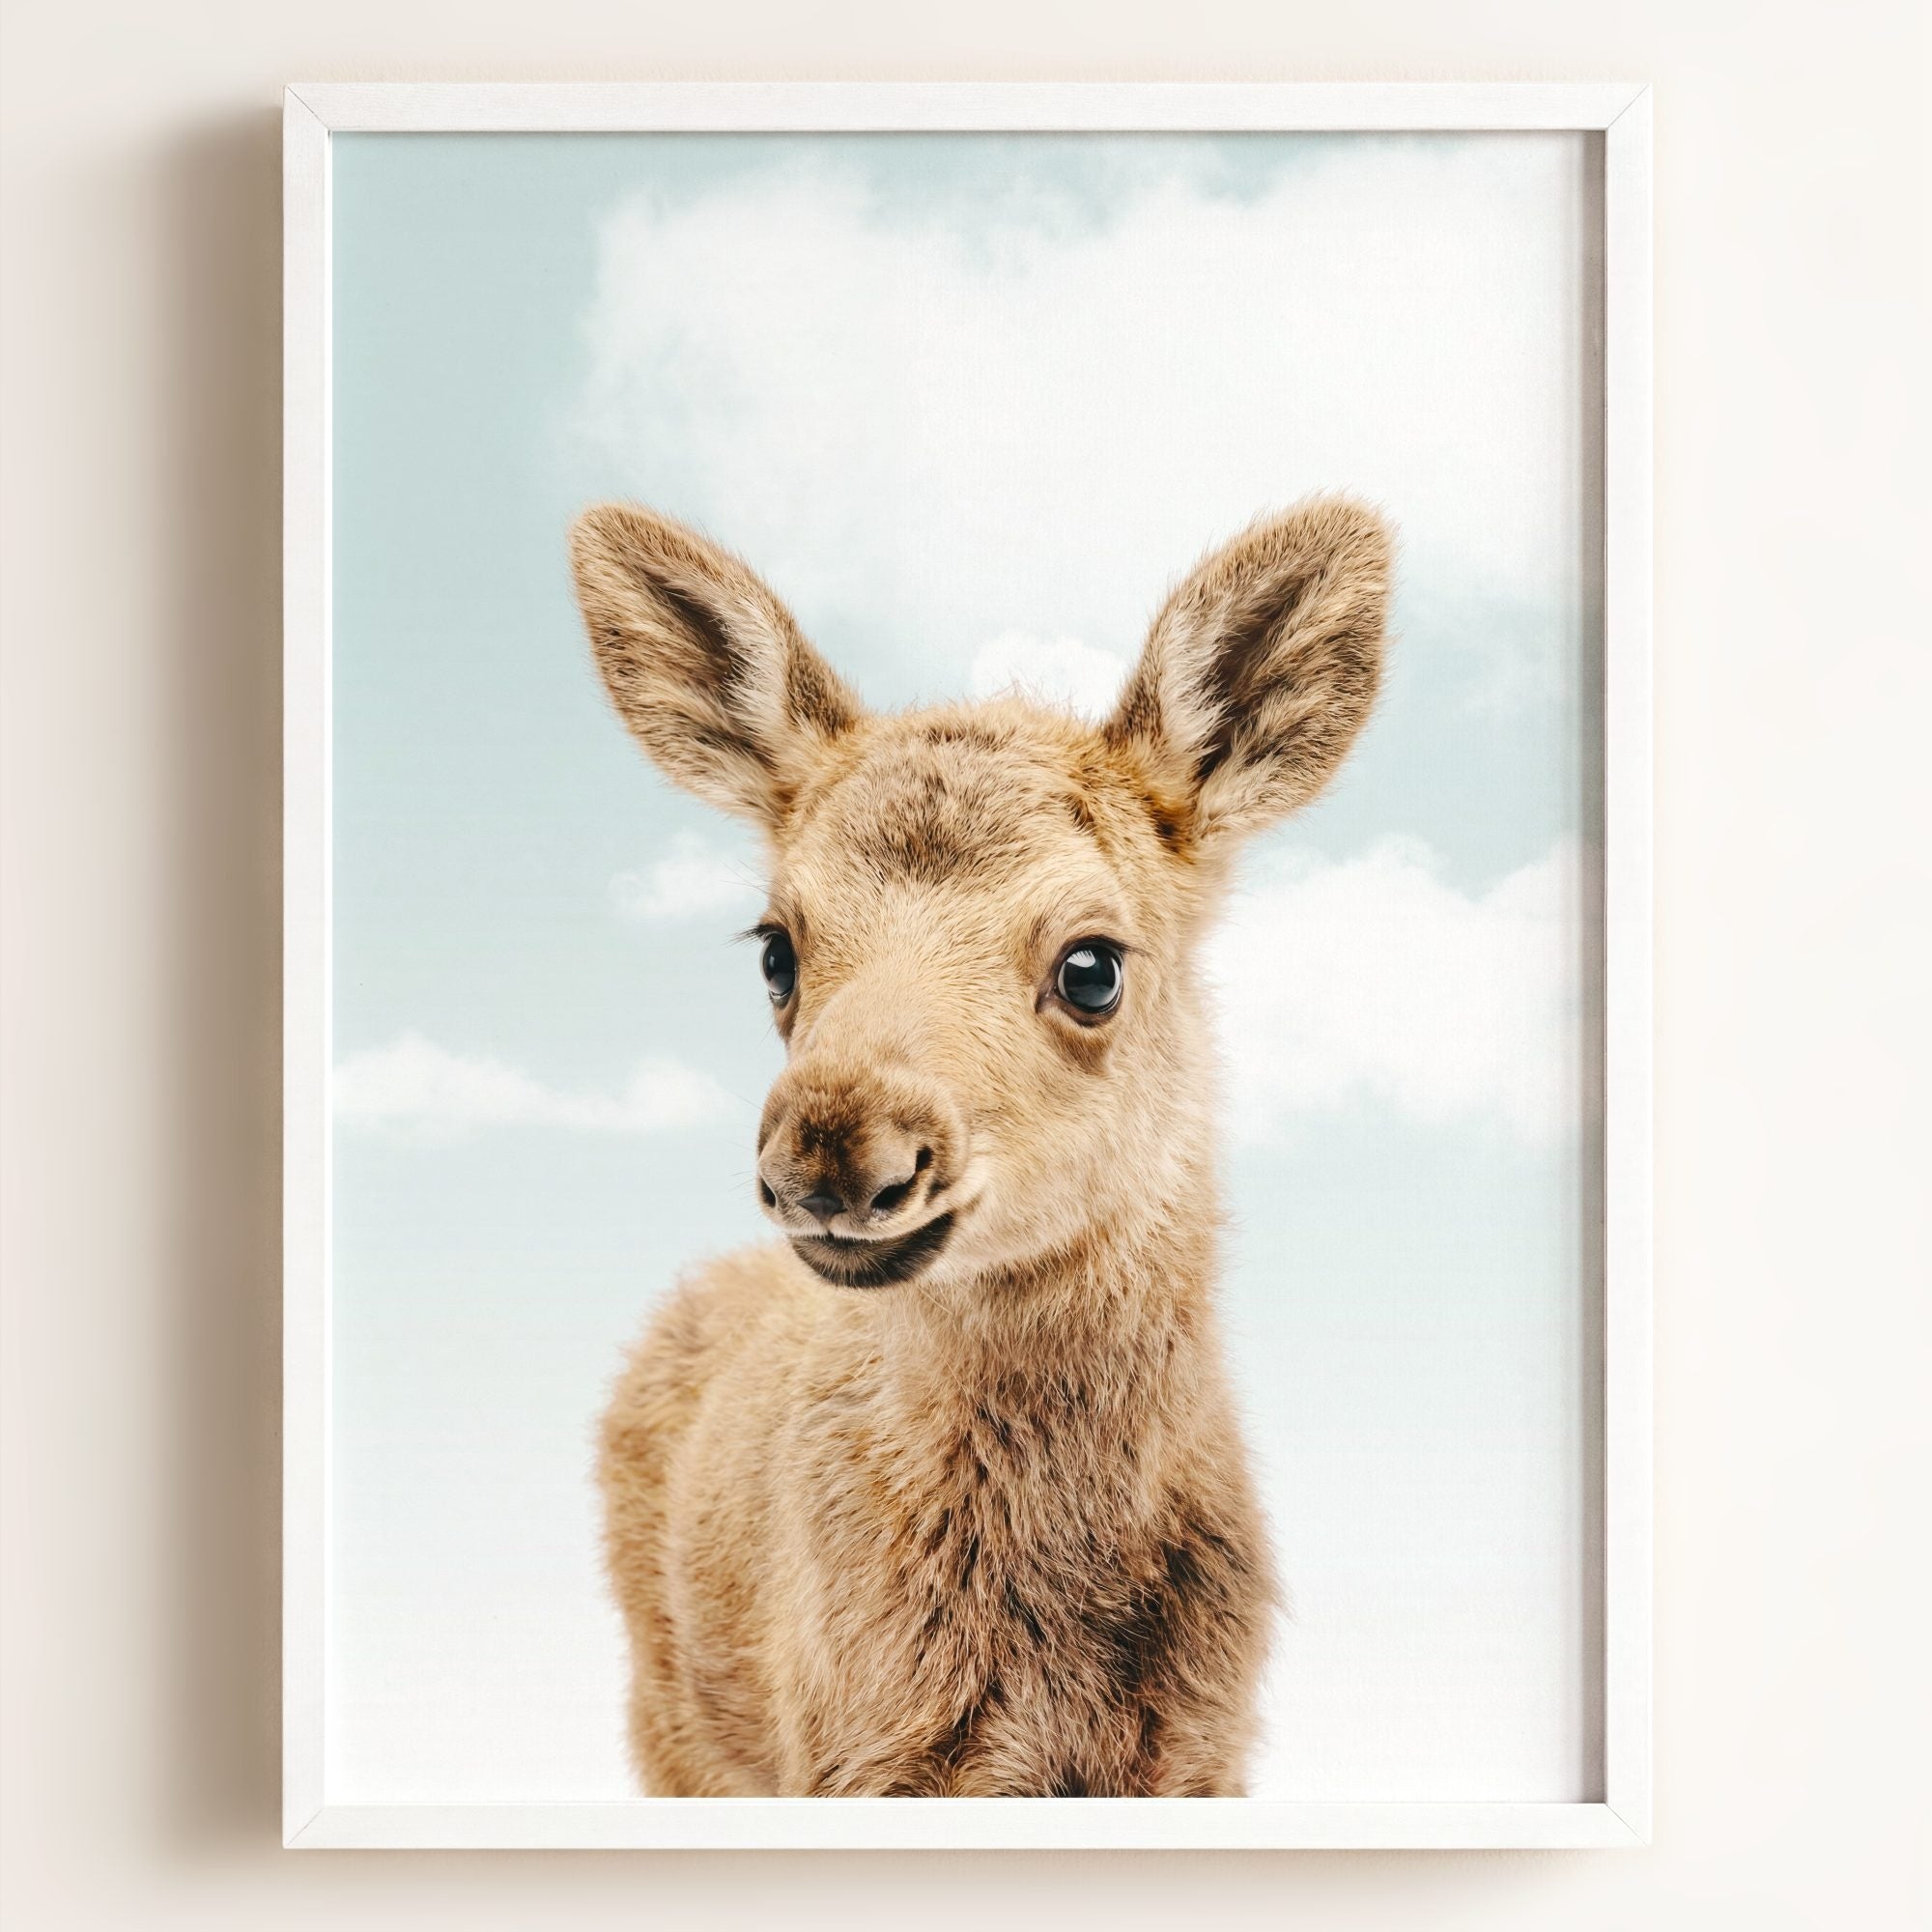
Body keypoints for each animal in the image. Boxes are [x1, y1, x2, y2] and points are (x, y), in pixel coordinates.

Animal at [570, 493, 1392, 1797]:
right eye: (776, 947)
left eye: (1092, 964)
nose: (833, 1152)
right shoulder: (849, 1751)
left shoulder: (1203, 1751)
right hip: (671, 1720)